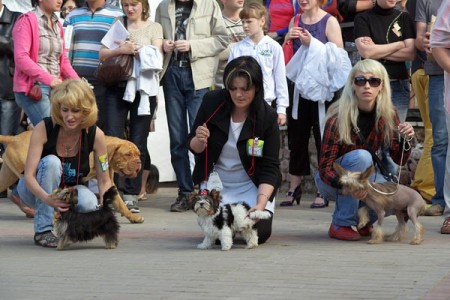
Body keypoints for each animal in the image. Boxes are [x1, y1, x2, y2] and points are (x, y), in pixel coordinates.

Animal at [0, 130, 144, 224]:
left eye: (138, 154)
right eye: (128, 154)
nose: (139, 162)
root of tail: (14, 138)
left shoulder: (108, 182)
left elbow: (120, 202)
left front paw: (132, 216)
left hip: (7, 175)